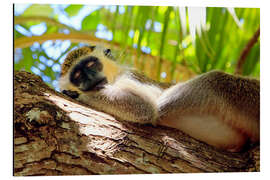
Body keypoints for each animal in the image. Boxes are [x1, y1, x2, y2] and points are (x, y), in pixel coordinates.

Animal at [59, 45, 260, 152]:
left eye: (91, 65)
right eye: (77, 75)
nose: (89, 79)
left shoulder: (131, 76)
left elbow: (144, 108)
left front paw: (80, 95)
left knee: (214, 80)